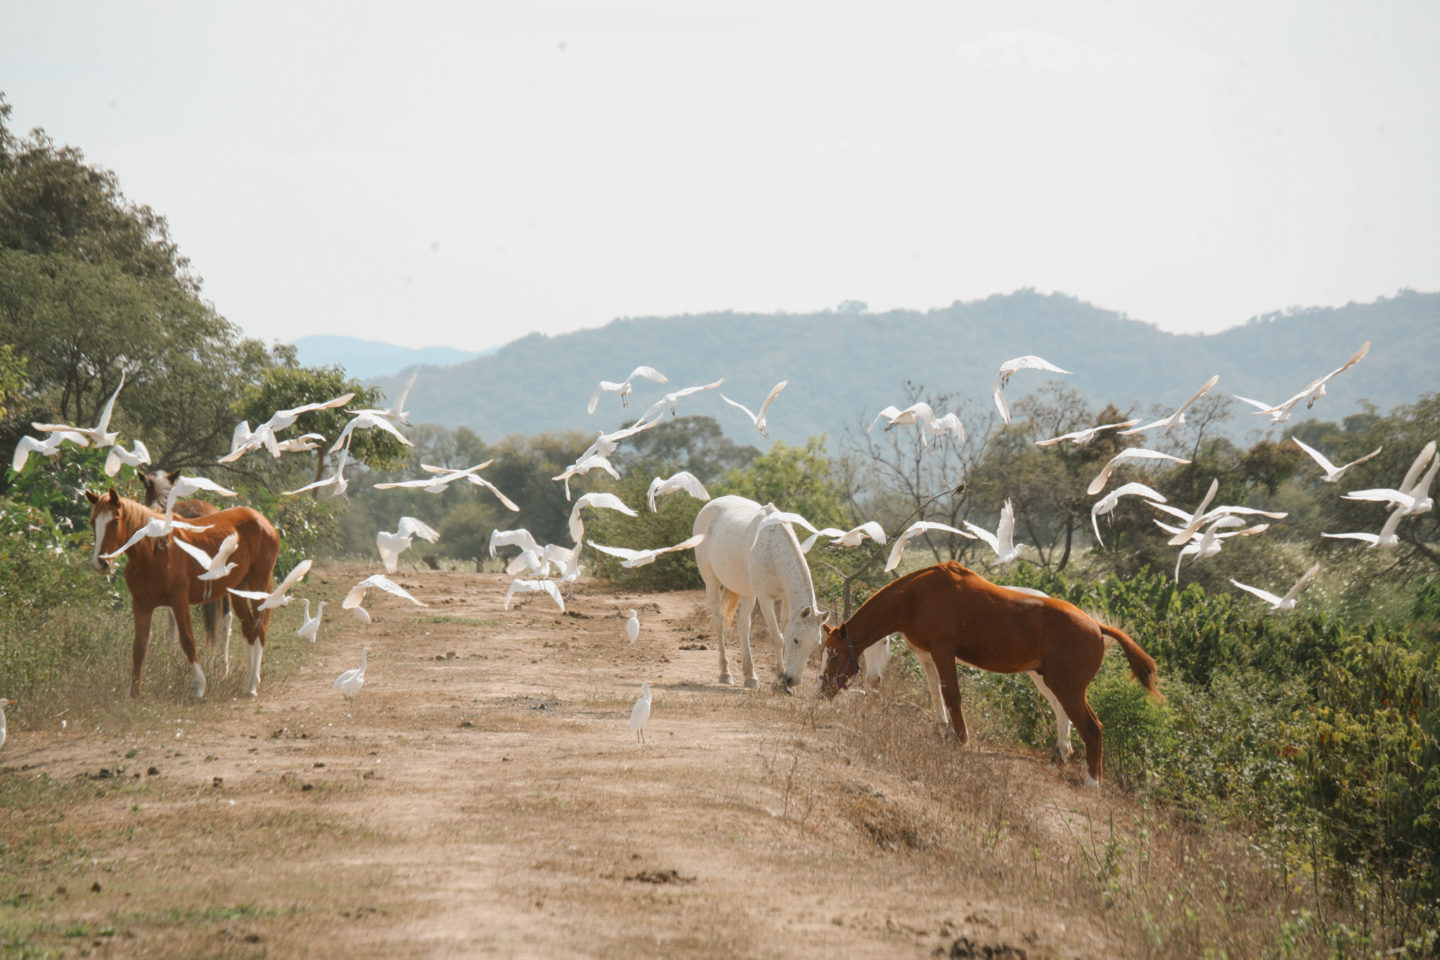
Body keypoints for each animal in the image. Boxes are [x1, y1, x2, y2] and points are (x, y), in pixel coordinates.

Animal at [86, 492, 280, 702]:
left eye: (114, 521)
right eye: (92, 521)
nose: (101, 563)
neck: (154, 551)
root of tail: (263, 521)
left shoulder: (179, 601)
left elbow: (187, 640)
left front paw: (199, 686)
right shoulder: (141, 605)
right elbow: (139, 647)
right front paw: (135, 692)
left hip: (259, 583)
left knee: (260, 628)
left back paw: (252, 685)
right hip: (239, 590)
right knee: (250, 629)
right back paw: (248, 682)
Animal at [691, 495, 829, 690]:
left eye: (815, 644)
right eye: (796, 640)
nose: (793, 680)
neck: (772, 547)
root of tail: (709, 505)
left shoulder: (785, 599)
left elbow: (782, 629)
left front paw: (780, 681)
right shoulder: (765, 599)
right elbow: (777, 637)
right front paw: (780, 680)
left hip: (747, 592)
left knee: (743, 625)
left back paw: (750, 676)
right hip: (712, 582)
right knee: (719, 620)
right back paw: (725, 673)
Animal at [823, 564, 1157, 788]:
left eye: (834, 654)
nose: (824, 690)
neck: (916, 597)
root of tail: (1097, 626)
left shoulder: (944, 653)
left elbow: (952, 695)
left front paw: (960, 739)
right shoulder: (927, 656)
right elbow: (936, 694)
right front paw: (942, 730)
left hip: (1068, 687)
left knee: (1092, 728)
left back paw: (1092, 783)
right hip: (1051, 681)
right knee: (1064, 714)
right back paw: (1062, 754)